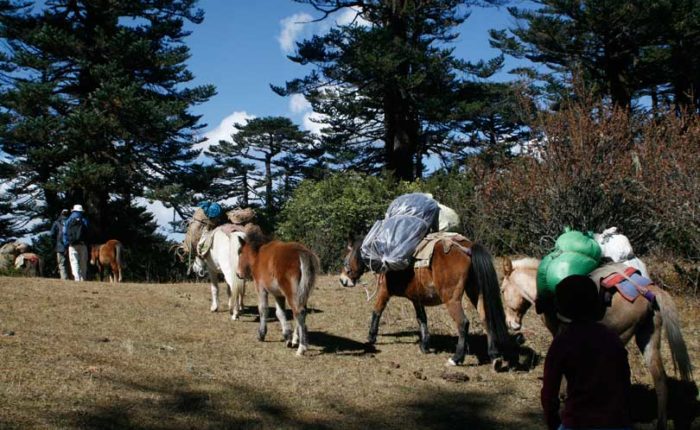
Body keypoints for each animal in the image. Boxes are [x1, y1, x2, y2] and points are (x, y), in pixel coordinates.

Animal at [237, 225, 322, 356]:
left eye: (240, 252)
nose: (238, 274)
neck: (258, 255)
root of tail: (301, 252)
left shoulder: (261, 288)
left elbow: (263, 309)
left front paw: (261, 334)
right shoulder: (278, 295)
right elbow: (280, 313)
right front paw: (287, 336)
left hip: (291, 292)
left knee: (299, 312)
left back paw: (301, 348)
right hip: (302, 292)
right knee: (300, 312)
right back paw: (296, 340)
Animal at [342, 233, 512, 368]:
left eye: (345, 259)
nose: (343, 280)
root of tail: (468, 247)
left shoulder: (384, 292)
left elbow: (377, 310)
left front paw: (371, 338)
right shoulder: (416, 299)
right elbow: (422, 319)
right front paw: (425, 345)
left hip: (451, 298)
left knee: (463, 323)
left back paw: (456, 358)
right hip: (475, 292)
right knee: (486, 318)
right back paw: (495, 356)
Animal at [500, 256, 692, 428]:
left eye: (502, 290)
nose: (511, 324)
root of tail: (646, 290)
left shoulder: (561, 335)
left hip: (620, 337)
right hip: (648, 338)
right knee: (660, 380)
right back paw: (660, 423)